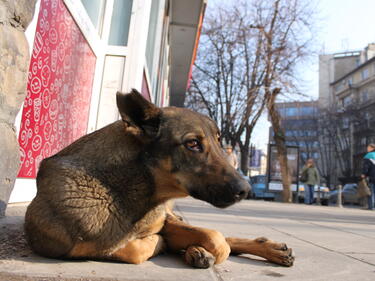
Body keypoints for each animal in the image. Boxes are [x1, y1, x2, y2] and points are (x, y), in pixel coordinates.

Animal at [25, 89, 296, 266]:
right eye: (193, 144)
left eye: (219, 142)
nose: (245, 190)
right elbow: (135, 248)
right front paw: (164, 245)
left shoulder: (166, 221)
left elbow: (217, 239)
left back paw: (268, 250)